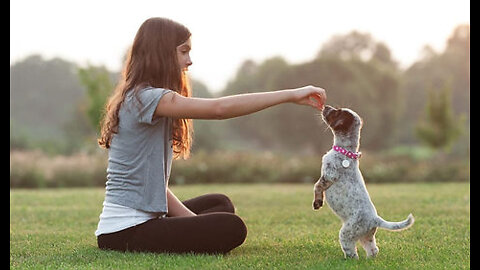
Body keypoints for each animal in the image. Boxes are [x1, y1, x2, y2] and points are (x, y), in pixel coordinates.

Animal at [314, 104, 414, 258]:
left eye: (337, 112)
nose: (325, 106)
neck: (345, 151)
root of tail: (375, 219)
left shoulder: (329, 175)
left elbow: (317, 186)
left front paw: (317, 202)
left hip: (347, 233)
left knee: (351, 251)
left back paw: (348, 259)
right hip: (366, 237)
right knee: (374, 250)